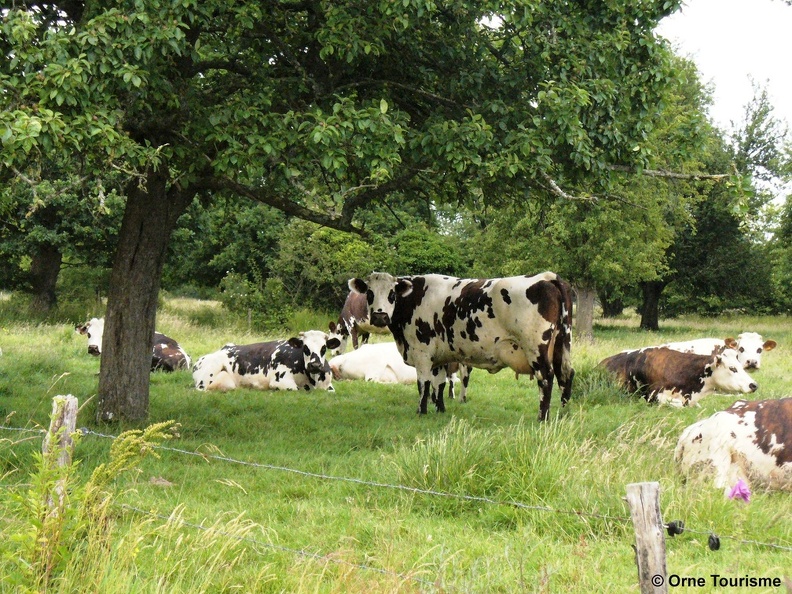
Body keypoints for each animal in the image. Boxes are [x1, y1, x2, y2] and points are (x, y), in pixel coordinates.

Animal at [193, 330, 342, 390]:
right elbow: (295, 389)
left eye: (324, 348)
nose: (315, 365)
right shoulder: (281, 381)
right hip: (209, 371)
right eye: (305, 347)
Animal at [350, 270, 572, 418]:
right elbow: (439, 384)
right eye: (369, 293)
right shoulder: (439, 356)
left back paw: (542, 418)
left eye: (392, 294)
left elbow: (423, 384)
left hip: (536, 348)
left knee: (546, 378)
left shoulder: (422, 352)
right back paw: (564, 413)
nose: (379, 316)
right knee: (566, 375)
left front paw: (421, 411)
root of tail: (546, 276)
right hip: (561, 345)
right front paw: (440, 409)